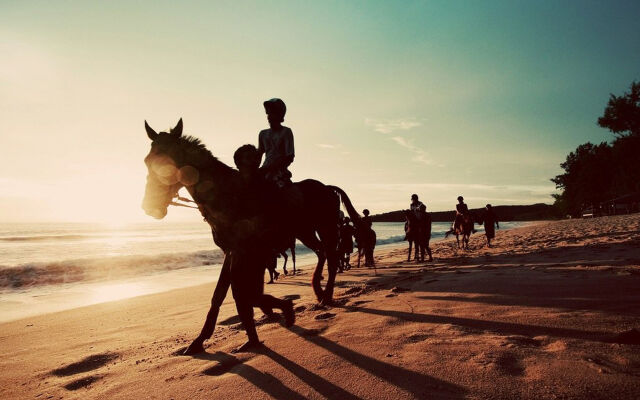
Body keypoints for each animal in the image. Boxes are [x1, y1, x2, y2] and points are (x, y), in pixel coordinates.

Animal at [141, 119, 360, 354]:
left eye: (167, 165)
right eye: (147, 162)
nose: (150, 207)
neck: (227, 195)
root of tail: (327, 188)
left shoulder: (244, 251)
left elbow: (241, 293)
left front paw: (266, 322)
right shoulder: (231, 251)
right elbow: (221, 294)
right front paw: (200, 340)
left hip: (325, 227)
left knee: (332, 257)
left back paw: (325, 295)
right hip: (305, 232)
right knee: (322, 253)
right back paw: (318, 290)